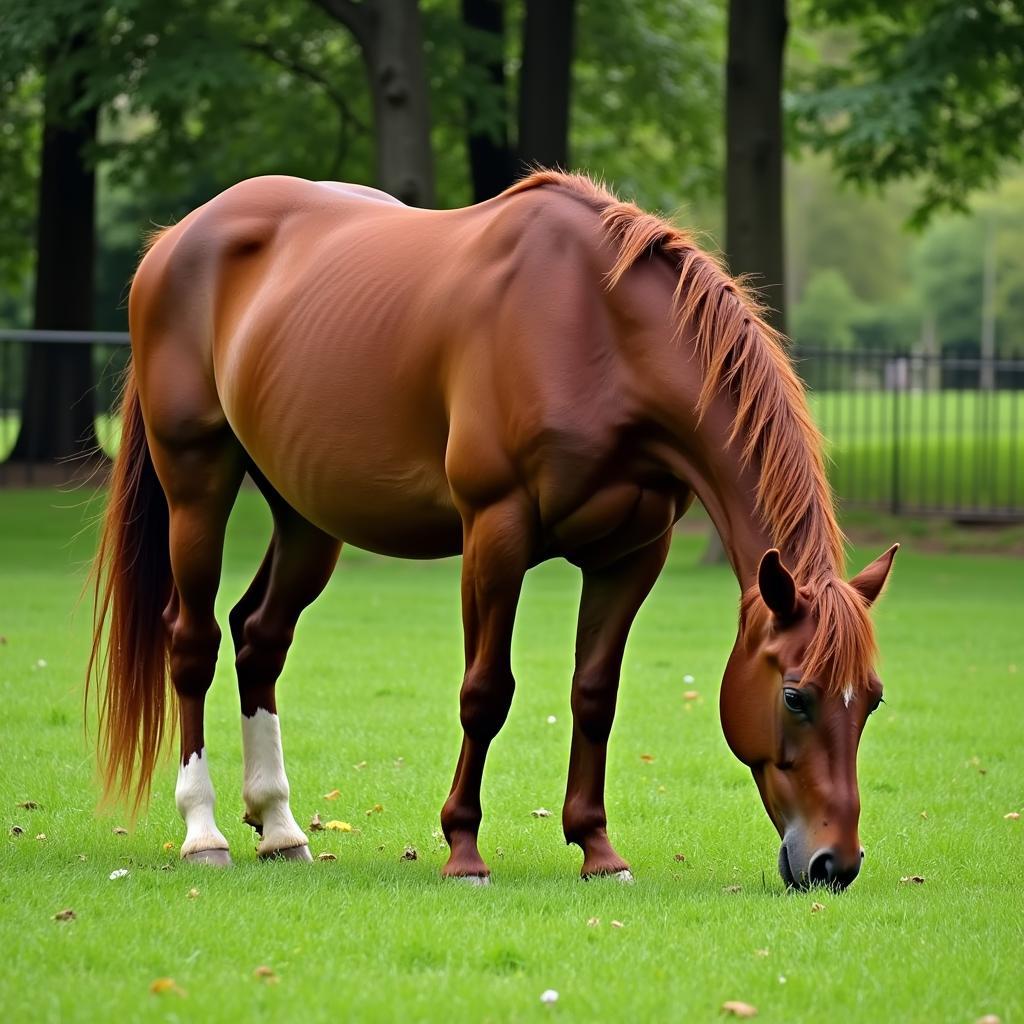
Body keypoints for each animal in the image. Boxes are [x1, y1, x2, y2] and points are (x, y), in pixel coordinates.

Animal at [88, 167, 897, 888]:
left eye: (873, 699)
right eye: (794, 696)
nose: (835, 864)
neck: (596, 326)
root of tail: (175, 239)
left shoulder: (632, 554)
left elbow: (594, 694)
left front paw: (597, 849)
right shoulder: (495, 533)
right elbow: (486, 691)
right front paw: (464, 850)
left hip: (307, 517)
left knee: (260, 639)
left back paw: (281, 828)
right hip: (197, 486)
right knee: (193, 643)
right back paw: (204, 832)